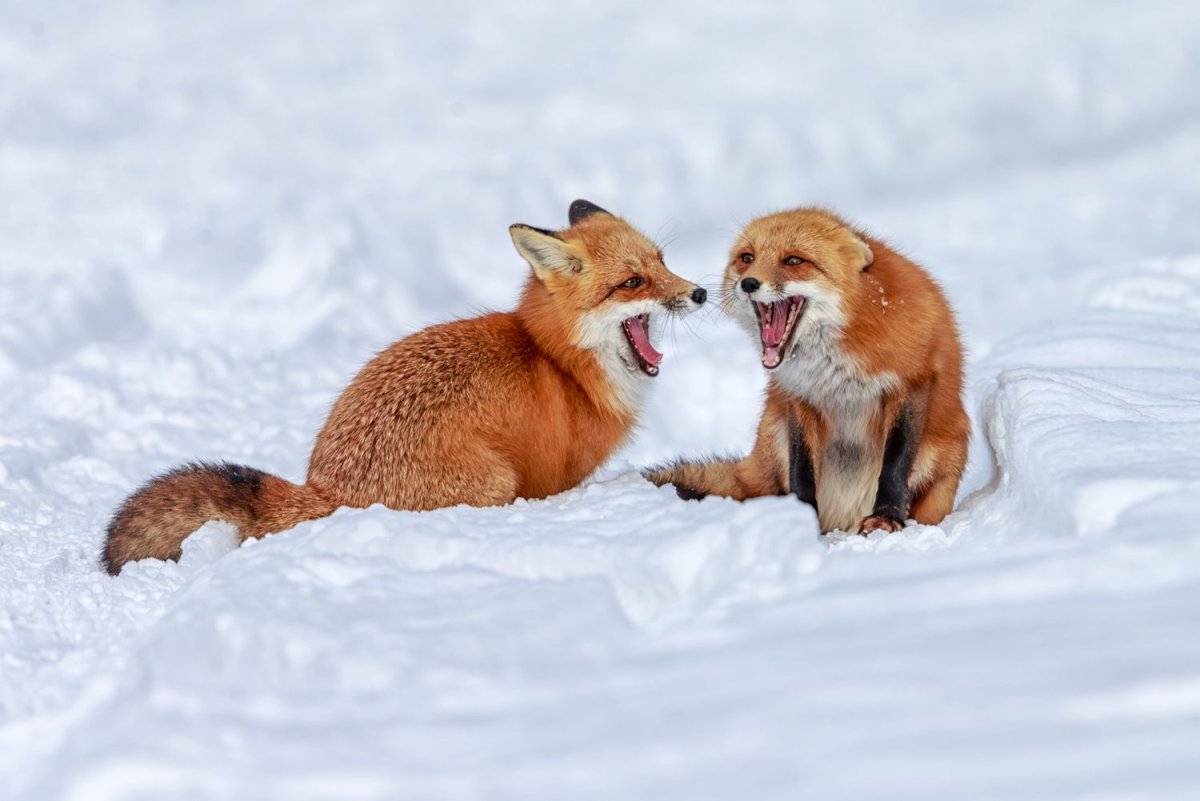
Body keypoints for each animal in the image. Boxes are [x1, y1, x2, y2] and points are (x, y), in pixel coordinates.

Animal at [104, 199, 707, 573]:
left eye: (663, 261)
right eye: (632, 282)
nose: (700, 292)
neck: (558, 361)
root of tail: (324, 490)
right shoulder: (553, 480)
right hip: (495, 482)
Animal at [645, 208, 968, 534]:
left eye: (793, 261)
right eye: (747, 257)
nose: (748, 283)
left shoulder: (910, 384)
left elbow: (895, 465)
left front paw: (886, 517)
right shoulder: (801, 397)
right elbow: (802, 469)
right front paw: (799, 517)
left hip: (946, 455)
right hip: (774, 434)